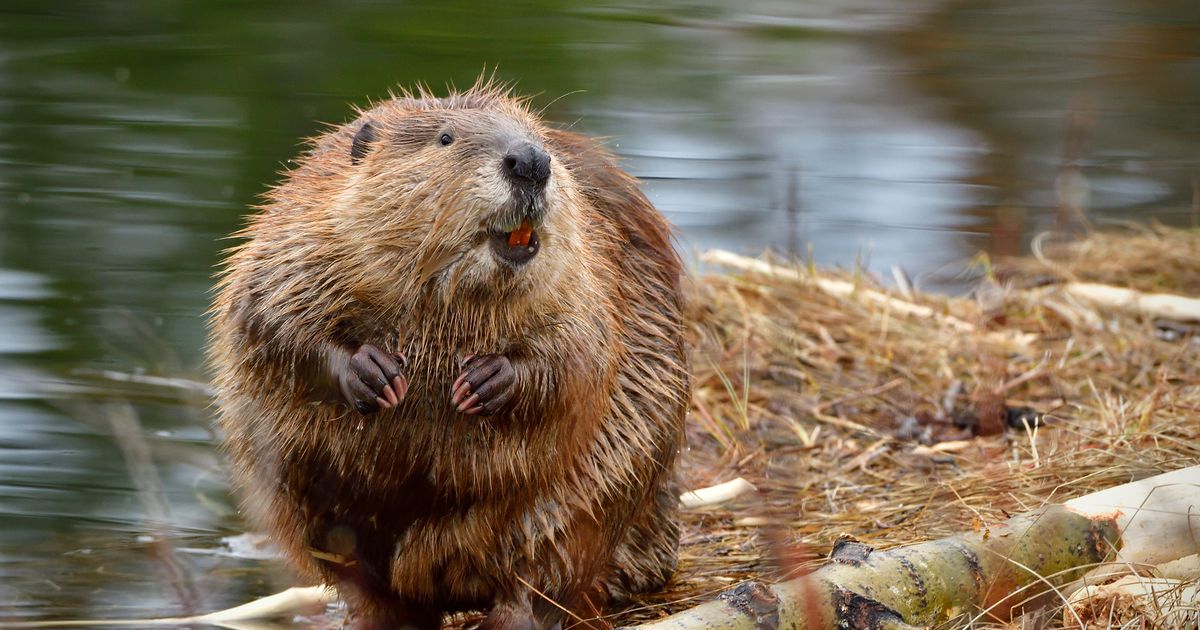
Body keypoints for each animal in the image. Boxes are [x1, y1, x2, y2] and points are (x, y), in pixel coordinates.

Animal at [208, 81, 686, 624]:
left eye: (540, 140)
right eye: (444, 138)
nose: (530, 161)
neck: (449, 300)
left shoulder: (589, 268)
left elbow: (581, 354)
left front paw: (485, 381)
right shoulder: (299, 231)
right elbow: (268, 316)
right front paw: (375, 373)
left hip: (582, 499)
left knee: (545, 572)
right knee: (368, 583)